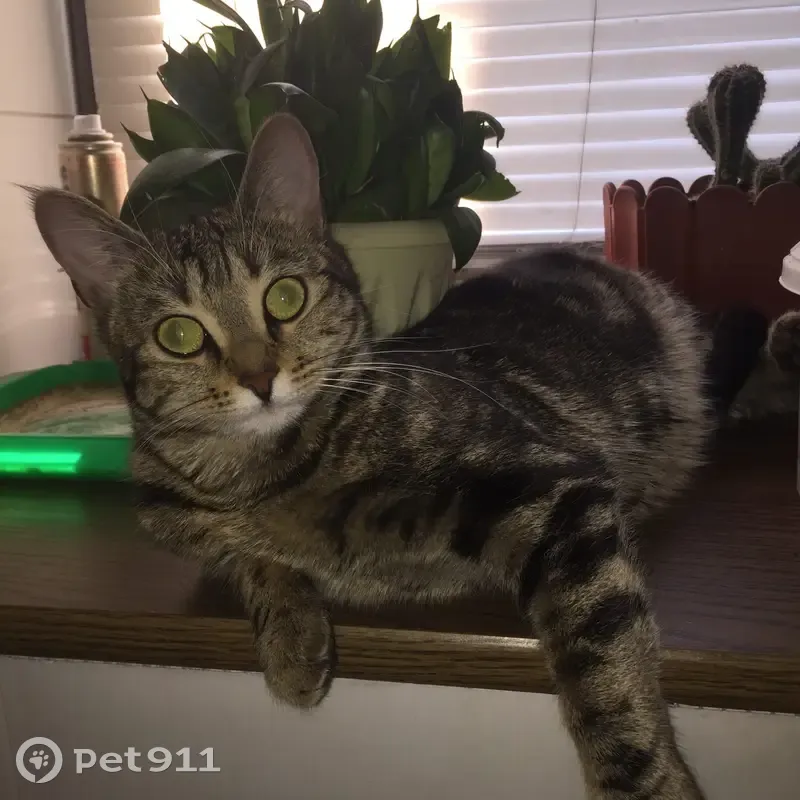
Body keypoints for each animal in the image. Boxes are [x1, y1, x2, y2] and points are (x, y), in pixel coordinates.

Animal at [33, 113, 710, 799]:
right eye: (178, 335)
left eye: (284, 297)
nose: (259, 378)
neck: (259, 480)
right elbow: (250, 561)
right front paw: (291, 641)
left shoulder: (551, 488)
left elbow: (601, 665)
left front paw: (645, 782)